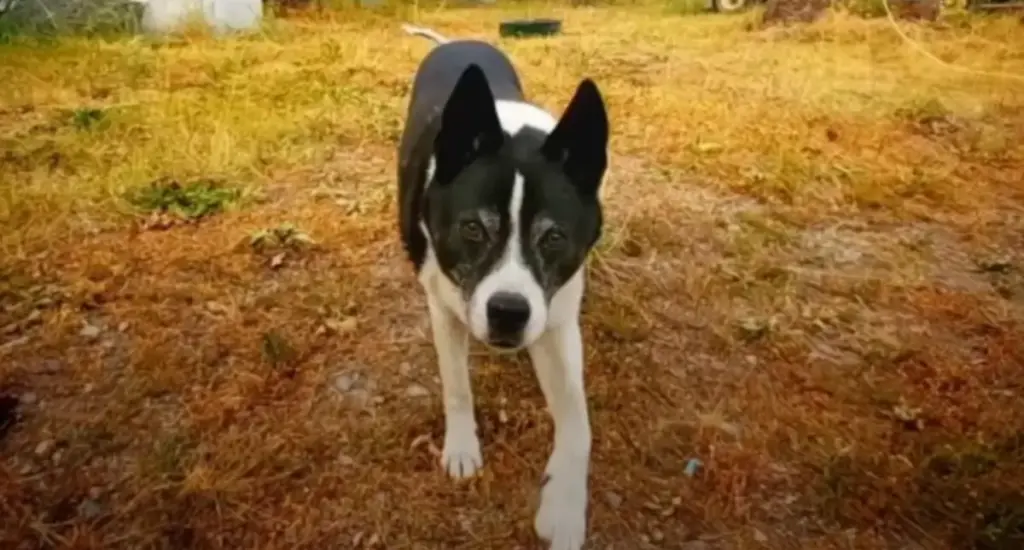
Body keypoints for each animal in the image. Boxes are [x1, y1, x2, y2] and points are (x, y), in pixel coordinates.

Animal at [397, 22, 606, 548]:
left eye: (554, 237)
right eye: (473, 228)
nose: (508, 313)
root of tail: (457, 42)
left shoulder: (557, 320)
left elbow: (579, 422)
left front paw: (565, 507)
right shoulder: (444, 307)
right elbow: (456, 384)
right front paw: (461, 448)